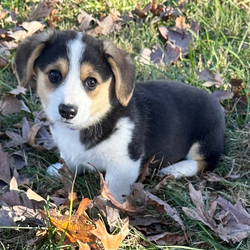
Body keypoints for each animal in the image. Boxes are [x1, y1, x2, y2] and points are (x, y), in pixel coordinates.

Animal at [14, 30, 226, 202]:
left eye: (91, 82)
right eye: (54, 75)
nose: (67, 111)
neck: (95, 120)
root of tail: (214, 100)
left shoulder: (124, 163)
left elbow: (113, 191)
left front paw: (108, 211)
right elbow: (71, 162)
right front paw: (60, 169)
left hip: (206, 139)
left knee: (206, 162)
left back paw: (174, 169)